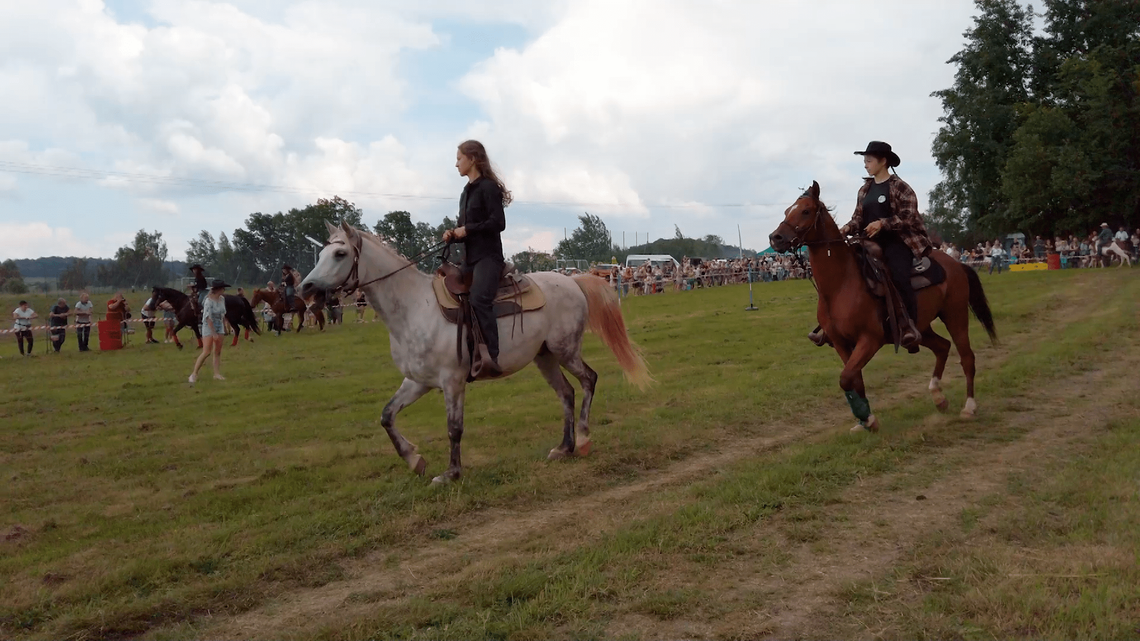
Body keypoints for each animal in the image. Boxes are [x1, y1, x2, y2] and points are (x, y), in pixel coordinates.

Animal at [298, 222, 652, 481]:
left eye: (340, 253)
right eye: (320, 253)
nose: (306, 288)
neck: (414, 308)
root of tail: (574, 282)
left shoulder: (452, 381)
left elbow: (454, 428)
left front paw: (451, 473)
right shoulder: (418, 381)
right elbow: (387, 415)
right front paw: (414, 459)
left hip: (565, 351)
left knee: (589, 380)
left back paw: (584, 439)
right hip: (545, 357)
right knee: (566, 393)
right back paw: (564, 447)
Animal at [766, 180, 998, 428]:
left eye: (806, 211)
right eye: (786, 211)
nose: (775, 238)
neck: (841, 284)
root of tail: (956, 264)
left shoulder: (870, 340)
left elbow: (845, 378)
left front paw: (865, 417)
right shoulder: (840, 343)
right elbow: (854, 379)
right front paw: (864, 420)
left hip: (955, 315)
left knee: (967, 357)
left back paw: (969, 407)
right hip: (922, 327)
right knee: (943, 347)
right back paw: (938, 397)